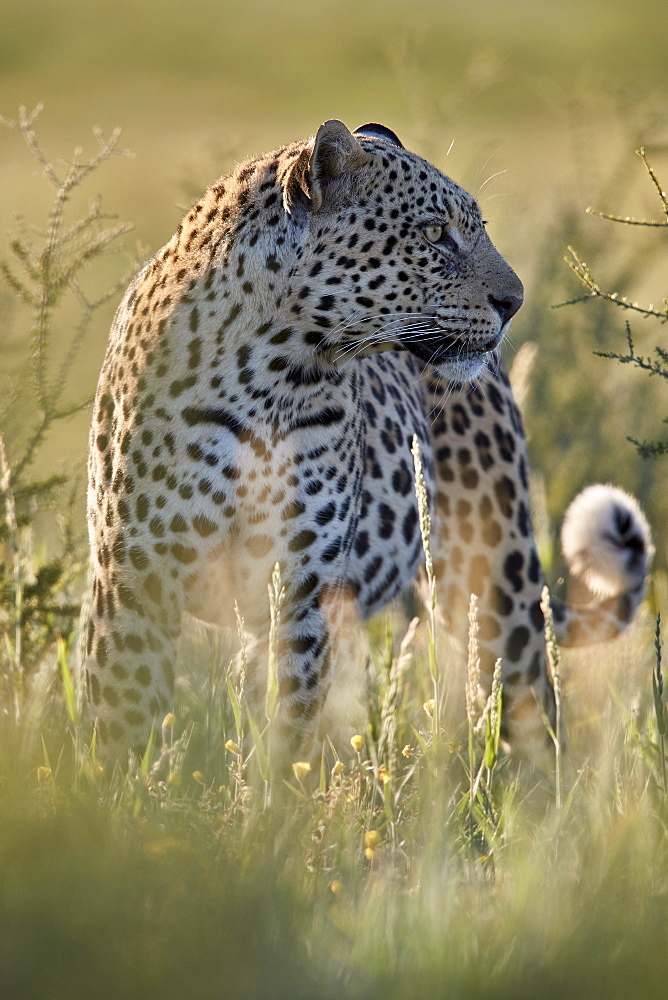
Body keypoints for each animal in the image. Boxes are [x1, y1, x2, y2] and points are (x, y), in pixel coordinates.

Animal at [83, 115, 652, 756]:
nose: (515, 302)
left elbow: (289, 732)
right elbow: (125, 722)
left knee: (531, 716)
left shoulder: (301, 592)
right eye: (434, 234)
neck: (270, 375)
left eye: (476, 230)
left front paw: (278, 786)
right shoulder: (134, 582)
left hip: (497, 580)